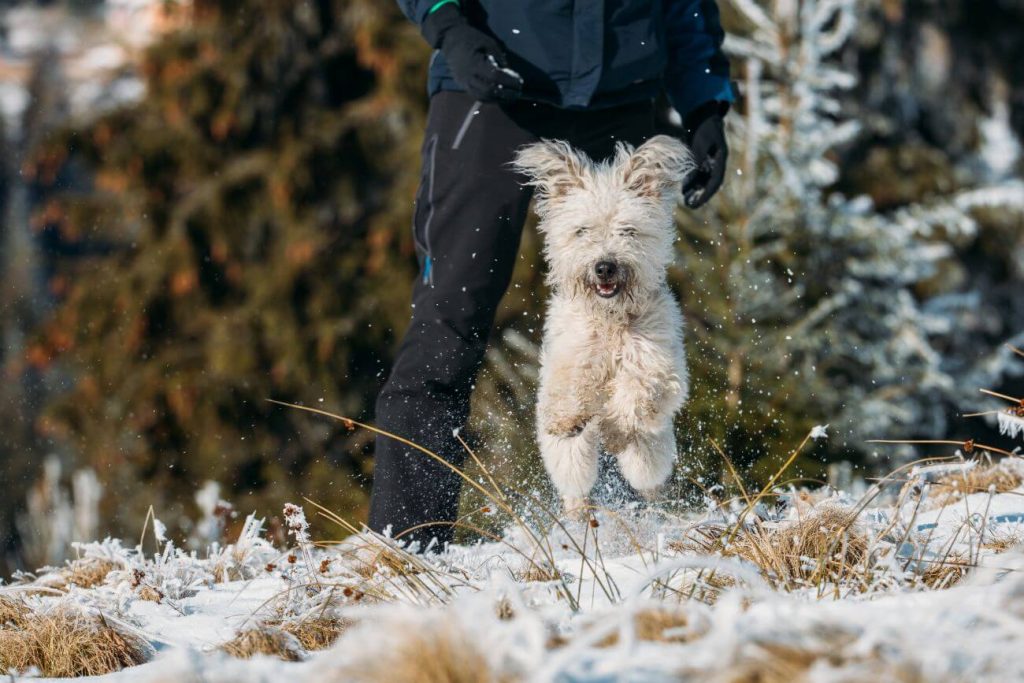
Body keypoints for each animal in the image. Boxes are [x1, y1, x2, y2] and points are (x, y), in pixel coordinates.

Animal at [512, 136, 696, 516]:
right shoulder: (569, 352)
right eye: (581, 230)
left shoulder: (660, 365)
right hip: (570, 461)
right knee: (575, 480)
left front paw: (614, 427)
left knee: (646, 475)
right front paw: (567, 418)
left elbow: (637, 392)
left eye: (628, 230)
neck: (610, 320)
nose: (605, 266)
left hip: (650, 455)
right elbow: (567, 386)